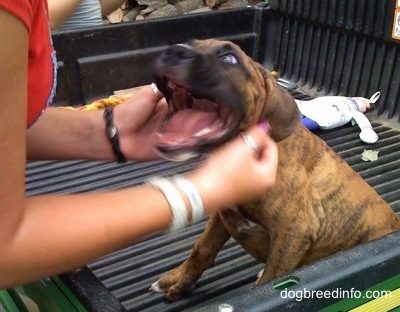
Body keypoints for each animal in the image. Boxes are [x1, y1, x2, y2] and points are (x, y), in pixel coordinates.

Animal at [148, 38, 398, 300]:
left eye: (229, 58)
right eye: (190, 43)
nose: (174, 50)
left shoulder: (293, 233)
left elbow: (270, 280)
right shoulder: (223, 213)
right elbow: (201, 249)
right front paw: (177, 280)